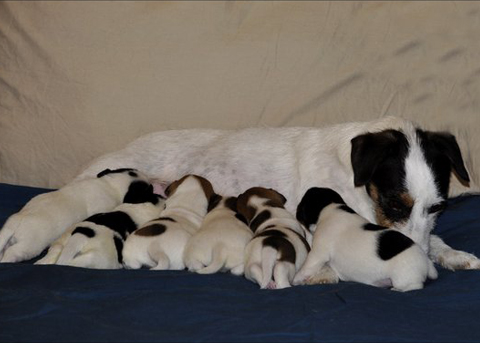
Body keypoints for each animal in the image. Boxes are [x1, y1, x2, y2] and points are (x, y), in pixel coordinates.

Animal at [292, 188, 438, 292]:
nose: (296, 211)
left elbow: (306, 268)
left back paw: (397, 289)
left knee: (415, 286)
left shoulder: (318, 253)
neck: (330, 206)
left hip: (403, 278)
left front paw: (296, 279)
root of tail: (426, 261)